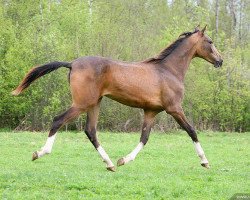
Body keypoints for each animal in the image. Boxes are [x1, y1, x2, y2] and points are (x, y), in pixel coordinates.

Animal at [11, 25, 223, 172]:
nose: (220, 61)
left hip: (94, 104)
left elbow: (144, 138)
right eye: (210, 41)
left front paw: (123, 160)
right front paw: (205, 161)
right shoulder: (174, 108)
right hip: (82, 103)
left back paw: (110, 163)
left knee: (91, 131)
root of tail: (72, 63)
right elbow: (191, 131)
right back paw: (39, 153)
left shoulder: (151, 111)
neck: (168, 70)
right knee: (58, 120)